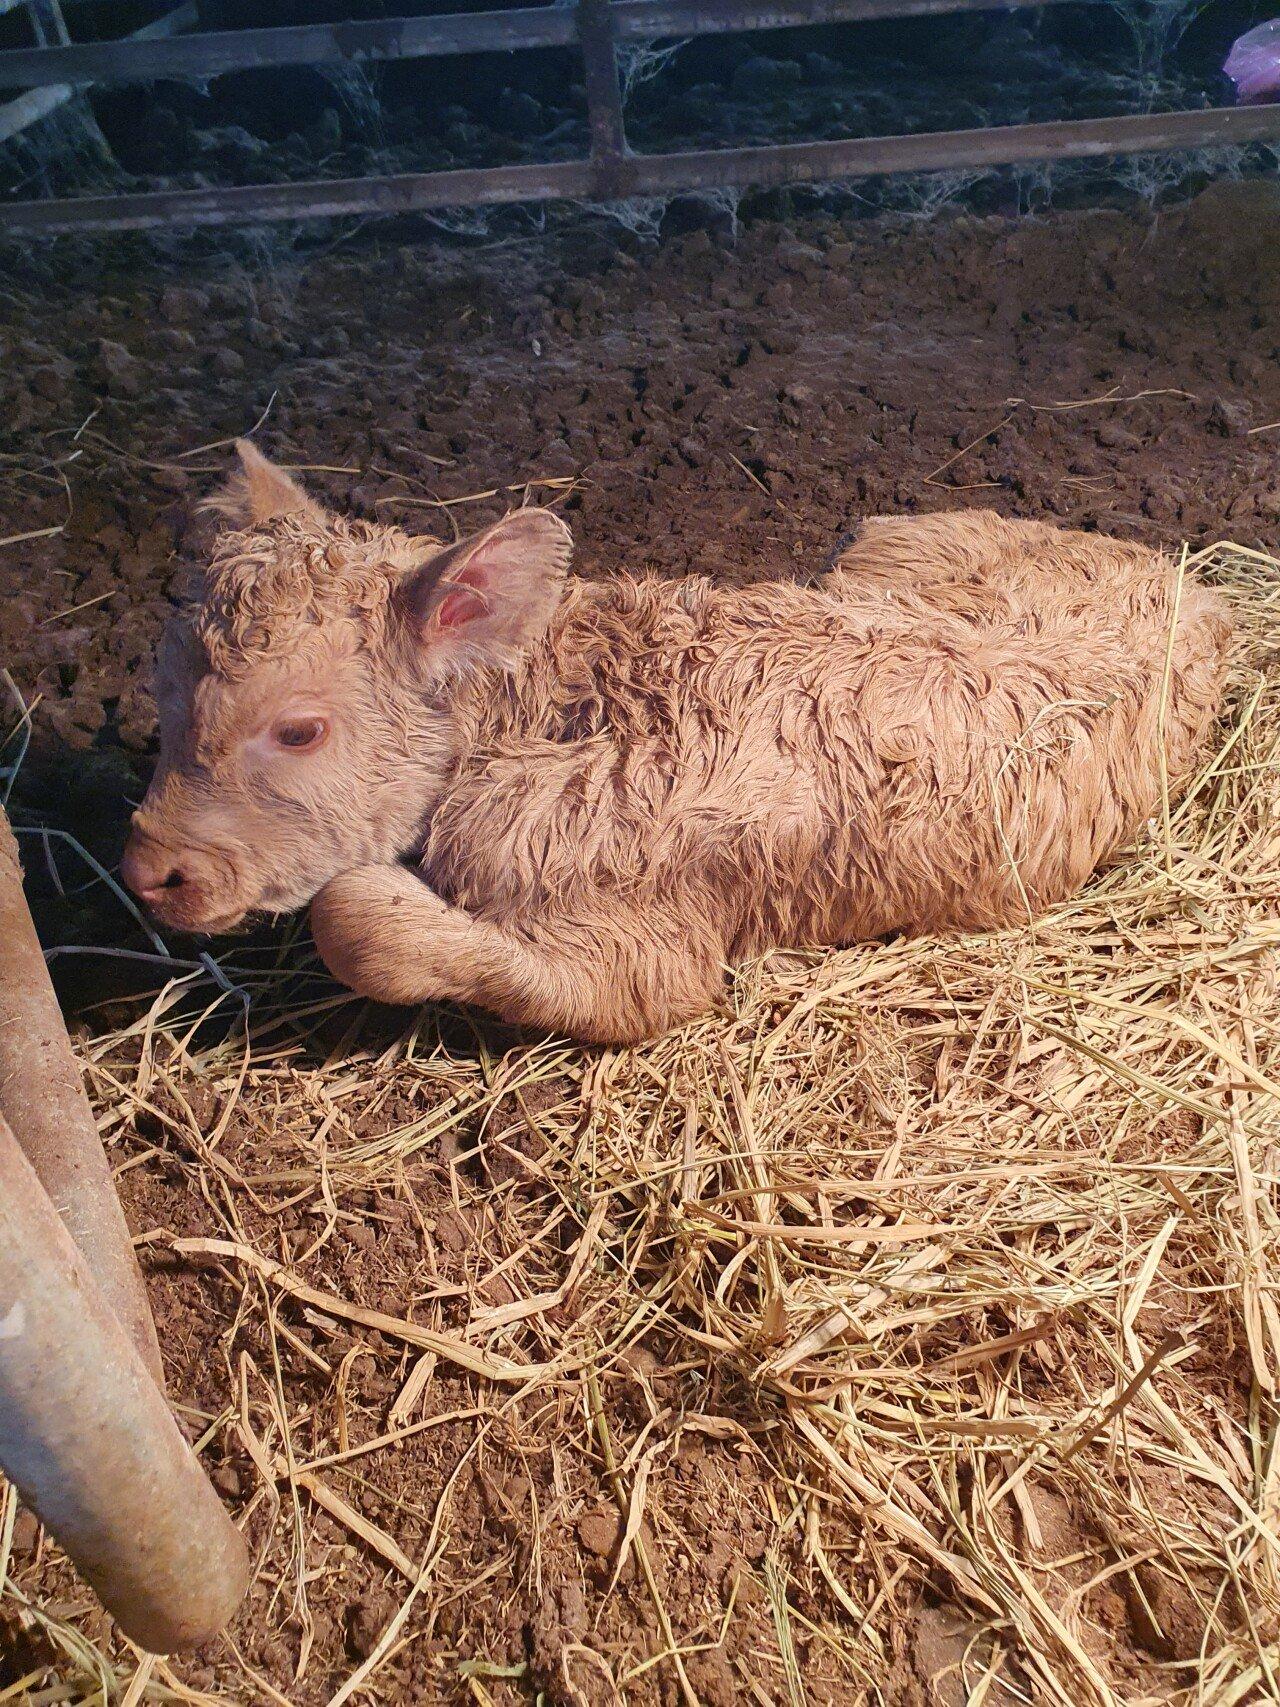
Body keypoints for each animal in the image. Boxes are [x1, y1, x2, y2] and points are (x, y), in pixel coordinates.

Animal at [120, 443, 1235, 1037]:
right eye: (161, 692)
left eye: (298, 729)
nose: (149, 872)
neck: (566, 699)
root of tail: (1183, 576)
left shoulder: (648, 945)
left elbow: (358, 918)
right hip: (885, 542)